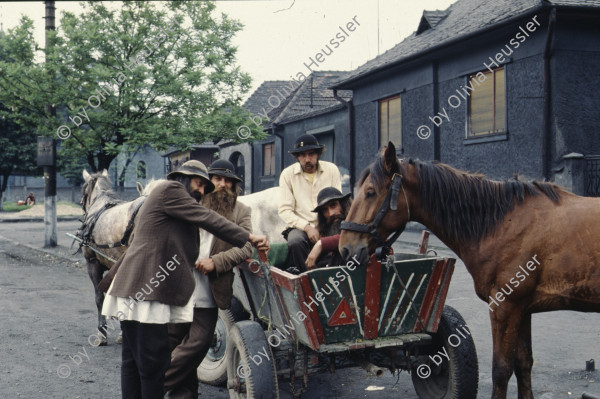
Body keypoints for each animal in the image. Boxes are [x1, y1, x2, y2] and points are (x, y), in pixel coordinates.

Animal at [340, 143, 600, 399]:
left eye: (371, 192)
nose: (345, 247)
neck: (500, 222)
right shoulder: (522, 309)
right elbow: (524, 365)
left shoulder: (505, 308)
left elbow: (501, 370)